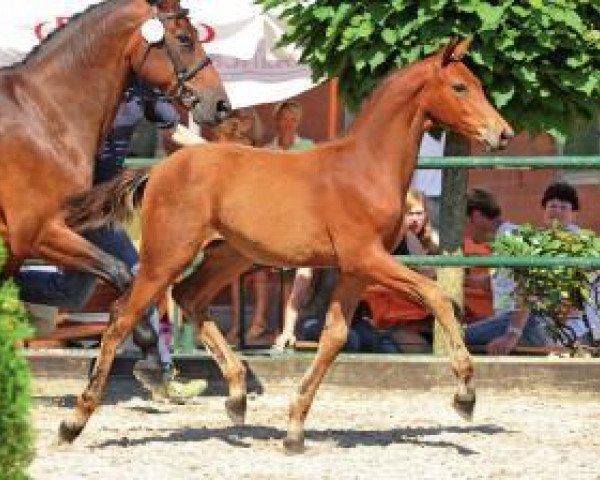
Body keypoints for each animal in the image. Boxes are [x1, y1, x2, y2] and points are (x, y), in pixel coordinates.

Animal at [59, 39, 510, 452]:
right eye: (459, 87)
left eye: (478, 84)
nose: (502, 132)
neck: (365, 168)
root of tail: (160, 169)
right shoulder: (368, 256)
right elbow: (437, 296)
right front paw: (465, 395)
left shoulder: (356, 269)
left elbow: (335, 337)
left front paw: (294, 428)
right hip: (167, 255)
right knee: (122, 315)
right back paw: (74, 422)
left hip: (231, 256)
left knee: (189, 296)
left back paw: (237, 397)